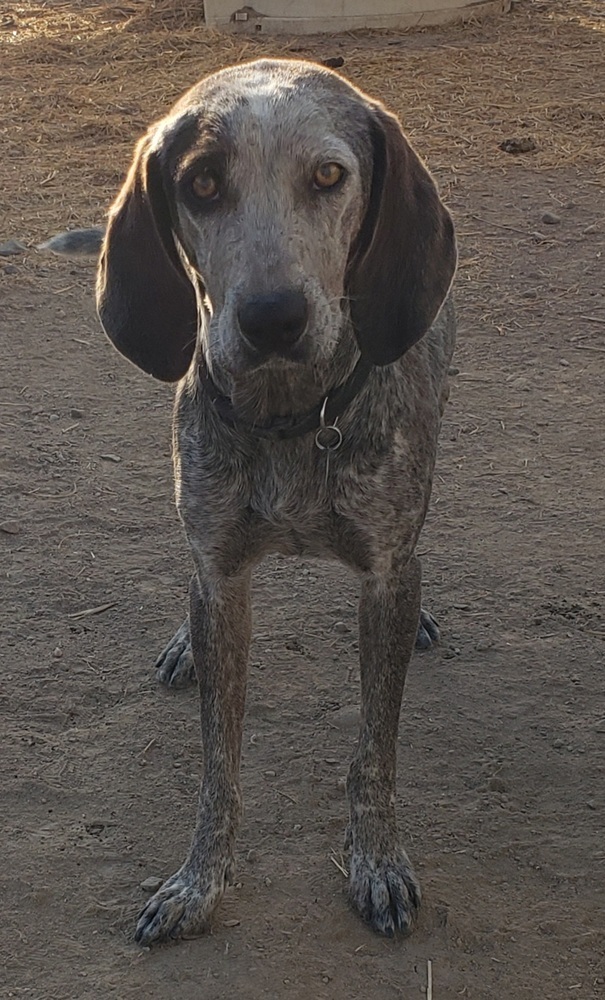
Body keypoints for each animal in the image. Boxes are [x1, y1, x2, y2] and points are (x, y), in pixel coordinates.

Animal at [44, 58, 456, 940]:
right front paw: (198, 881)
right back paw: (182, 642)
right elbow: (217, 765)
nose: (273, 318)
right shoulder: (223, 576)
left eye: (329, 175)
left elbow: (372, 752)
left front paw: (376, 861)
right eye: (201, 183)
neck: (290, 419)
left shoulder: (383, 575)